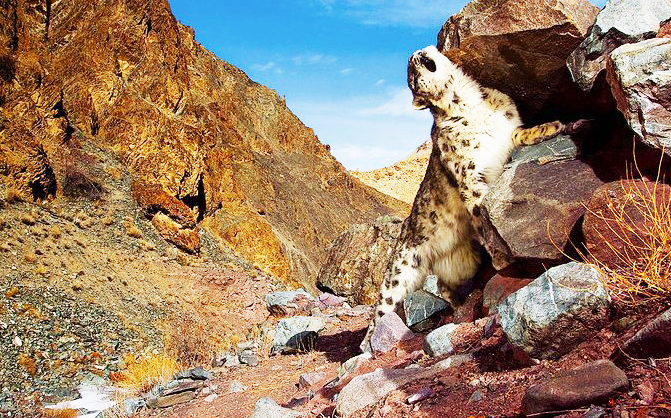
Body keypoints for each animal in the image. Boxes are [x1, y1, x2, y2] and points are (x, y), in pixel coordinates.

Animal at [360, 45, 567, 353]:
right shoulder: (469, 176)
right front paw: (504, 259)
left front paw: (554, 126)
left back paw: (458, 303)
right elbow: (481, 212)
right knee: (384, 306)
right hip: (399, 272)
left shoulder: (507, 131)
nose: (412, 56)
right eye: (411, 79)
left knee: (443, 285)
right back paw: (367, 345)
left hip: (463, 260)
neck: (469, 102)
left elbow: (523, 133)